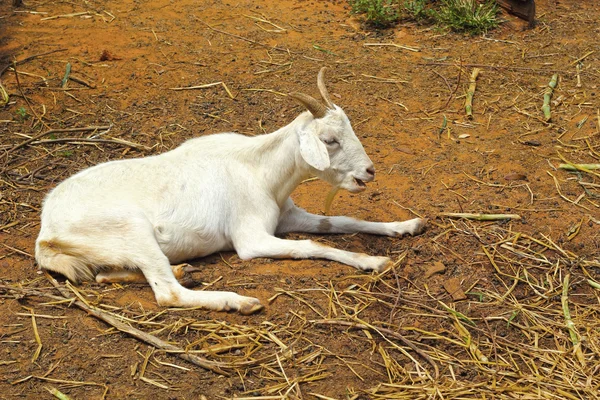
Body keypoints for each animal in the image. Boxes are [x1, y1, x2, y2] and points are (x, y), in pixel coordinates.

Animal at [35, 68, 424, 312]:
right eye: (329, 140)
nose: (369, 172)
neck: (260, 171)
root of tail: (46, 233)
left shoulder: (287, 215)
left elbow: (339, 221)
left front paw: (405, 226)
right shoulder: (251, 239)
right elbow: (311, 246)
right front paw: (373, 261)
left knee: (107, 274)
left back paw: (184, 270)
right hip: (131, 229)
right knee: (167, 294)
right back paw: (237, 301)